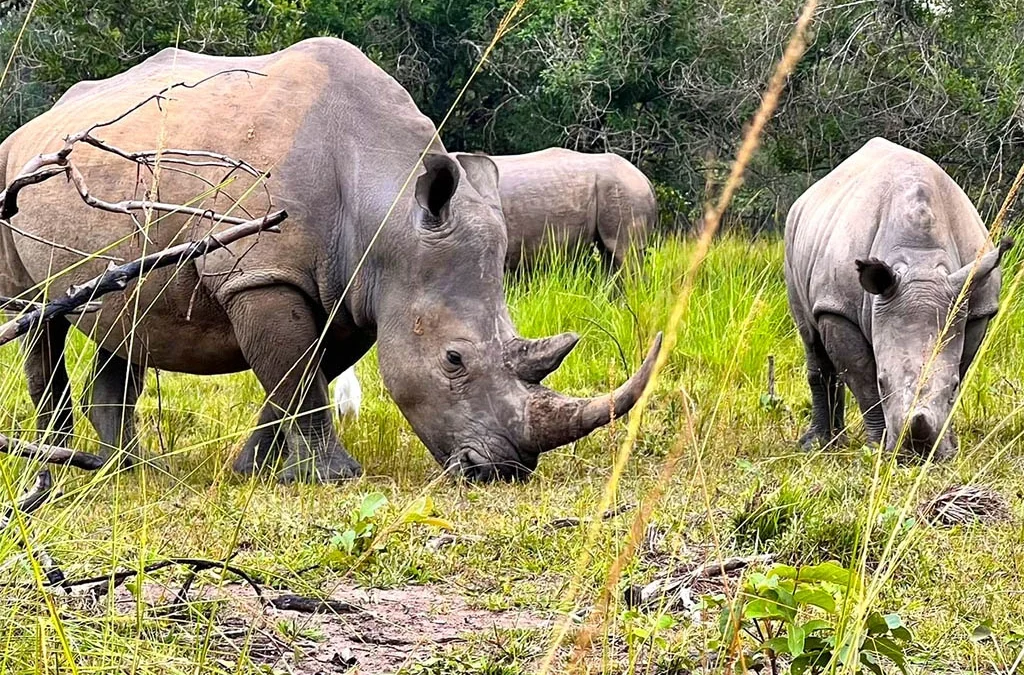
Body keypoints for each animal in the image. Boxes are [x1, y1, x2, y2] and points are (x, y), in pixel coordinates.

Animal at [785, 137, 1011, 459]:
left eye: (953, 387)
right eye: (884, 382)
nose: (917, 453)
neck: (920, 260)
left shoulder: (977, 307)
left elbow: (962, 365)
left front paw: (949, 446)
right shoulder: (838, 307)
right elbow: (863, 378)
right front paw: (878, 448)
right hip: (794, 241)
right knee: (811, 337)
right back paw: (819, 445)